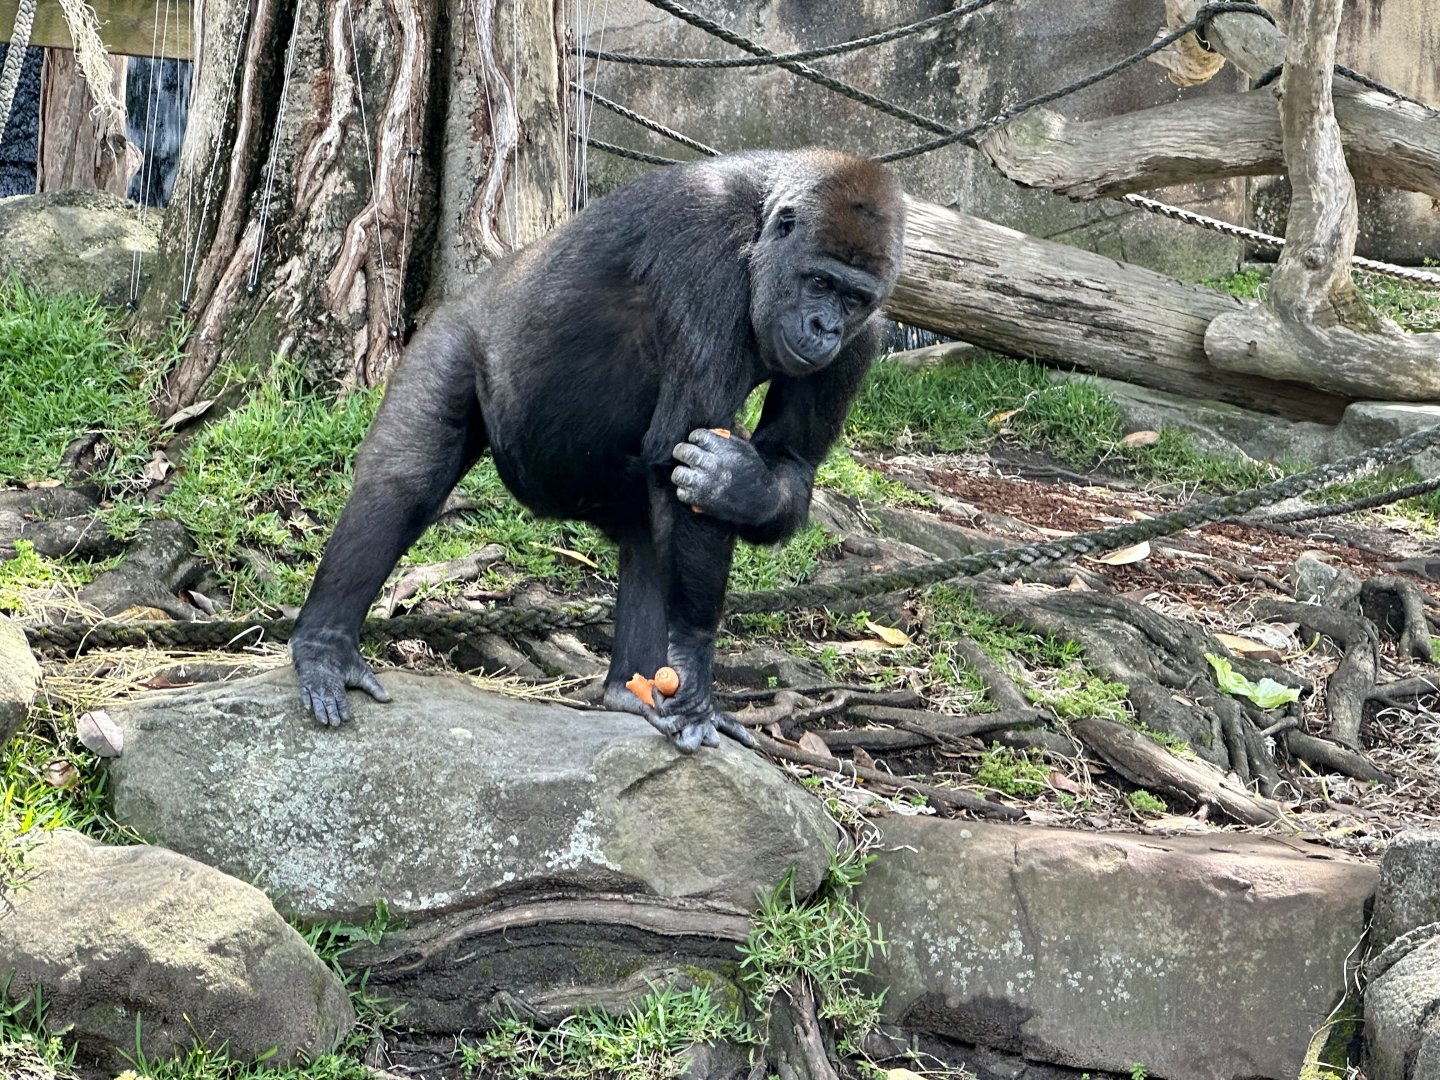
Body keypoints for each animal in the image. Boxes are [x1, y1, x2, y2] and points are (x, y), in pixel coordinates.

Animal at [289, 148, 906, 752]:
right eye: (819, 283)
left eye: (853, 297)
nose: (825, 327)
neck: (759, 226)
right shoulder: (708, 247)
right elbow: (679, 457)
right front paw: (695, 661)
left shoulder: (868, 333)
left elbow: (783, 464)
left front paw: (741, 486)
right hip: (453, 331)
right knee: (404, 482)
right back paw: (325, 646)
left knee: (645, 524)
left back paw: (629, 688)